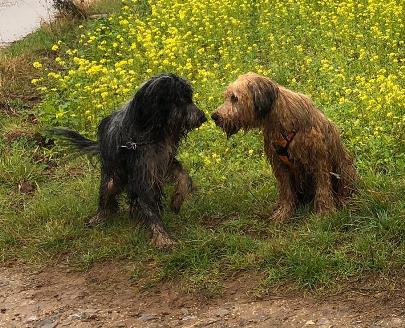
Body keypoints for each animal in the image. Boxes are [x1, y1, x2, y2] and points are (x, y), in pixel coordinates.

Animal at [52, 74, 207, 247]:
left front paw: (177, 200)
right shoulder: (141, 172)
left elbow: (184, 176)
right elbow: (149, 205)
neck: (154, 130)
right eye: (180, 99)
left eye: (189, 97)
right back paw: (99, 217)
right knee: (106, 194)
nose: (203, 117)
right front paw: (162, 237)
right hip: (113, 175)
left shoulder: (163, 161)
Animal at [211, 72, 356, 220]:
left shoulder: (319, 159)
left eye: (234, 98)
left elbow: (323, 188)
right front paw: (284, 213)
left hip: (344, 168)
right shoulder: (279, 164)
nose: (214, 116)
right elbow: (286, 191)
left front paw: (325, 212)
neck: (280, 119)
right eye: (227, 96)